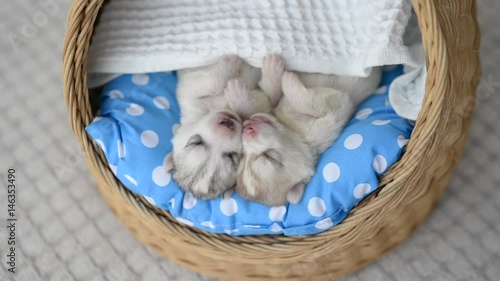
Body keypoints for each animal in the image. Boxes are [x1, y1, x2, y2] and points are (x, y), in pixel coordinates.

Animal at [166, 54, 286, 199]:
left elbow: (271, 96)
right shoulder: (188, 90)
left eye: (230, 156)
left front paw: (273, 71)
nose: (227, 125)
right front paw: (234, 81)